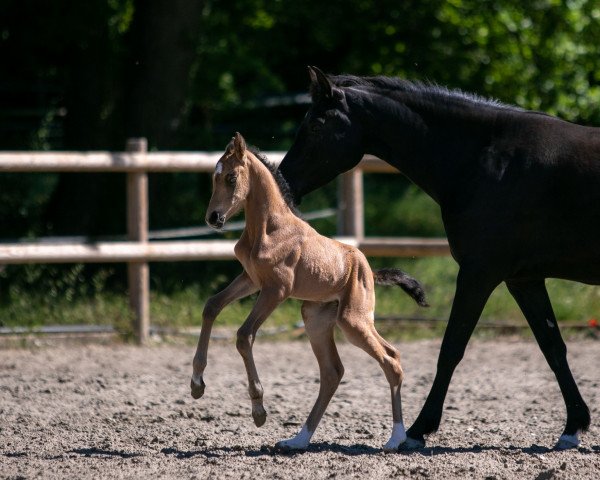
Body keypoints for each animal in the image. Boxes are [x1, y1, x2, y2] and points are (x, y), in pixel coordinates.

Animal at [190, 132, 428, 450]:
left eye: (230, 177)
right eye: (214, 177)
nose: (213, 218)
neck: (269, 228)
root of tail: (369, 270)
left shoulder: (276, 290)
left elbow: (244, 335)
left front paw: (259, 411)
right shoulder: (250, 279)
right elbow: (212, 306)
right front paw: (197, 383)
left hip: (353, 321)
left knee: (390, 361)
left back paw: (396, 438)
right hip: (316, 318)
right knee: (334, 372)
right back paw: (298, 439)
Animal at [278, 66, 596, 450]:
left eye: (315, 126)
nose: (282, 181)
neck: (487, 161)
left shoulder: (478, 273)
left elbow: (451, 349)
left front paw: (418, 429)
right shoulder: (524, 279)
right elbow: (553, 348)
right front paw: (574, 425)